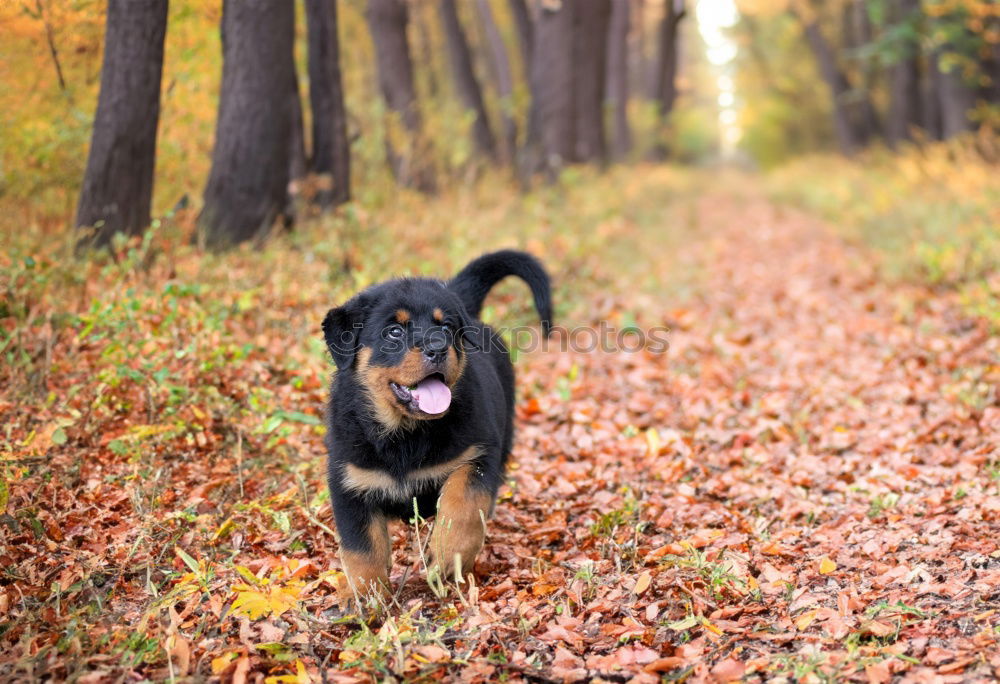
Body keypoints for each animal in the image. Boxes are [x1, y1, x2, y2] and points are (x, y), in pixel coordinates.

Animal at [322, 248, 552, 596]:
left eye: (445, 328)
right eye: (394, 331)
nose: (437, 348)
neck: (405, 434)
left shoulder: (477, 455)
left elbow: (462, 506)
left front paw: (446, 557)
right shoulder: (349, 482)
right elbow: (361, 548)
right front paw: (363, 597)